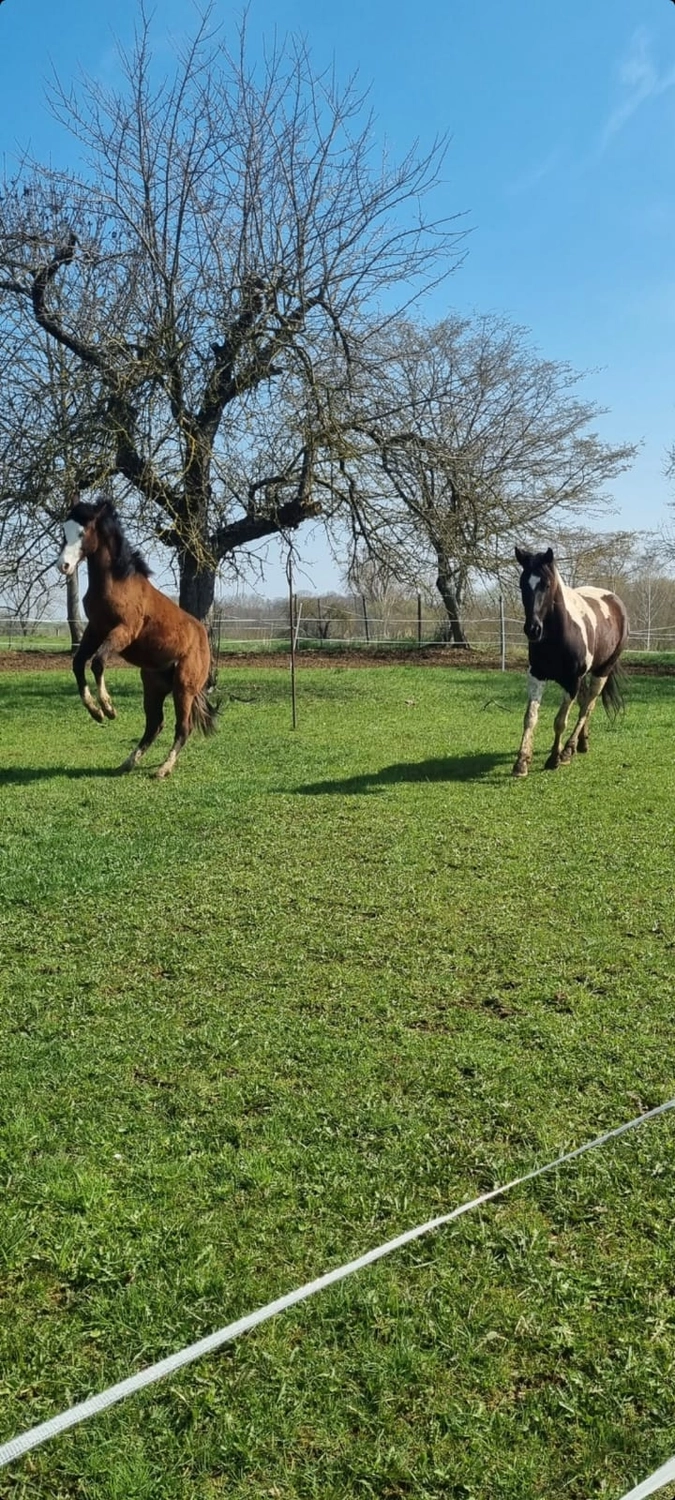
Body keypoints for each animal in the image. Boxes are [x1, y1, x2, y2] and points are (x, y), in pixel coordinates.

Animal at [56, 499, 217, 778]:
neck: (117, 583)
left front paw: (109, 708)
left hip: (183, 687)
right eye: (64, 532)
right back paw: (128, 762)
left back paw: (163, 768)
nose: (63, 565)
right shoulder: (95, 630)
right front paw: (96, 712)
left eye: (83, 532)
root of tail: (202, 636)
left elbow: (98, 662)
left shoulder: (123, 630)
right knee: (155, 725)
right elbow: (78, 663)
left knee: (182, 727)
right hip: (153, 687)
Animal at [512, 546, 629, 778]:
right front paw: (521, 762)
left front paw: (554, 759)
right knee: (585, 704)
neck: (558, 635)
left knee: (587, 707)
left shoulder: (572, 681)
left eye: (547, 585)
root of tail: (615, 600)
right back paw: (580, 744)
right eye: (522, 584)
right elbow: (530, 717)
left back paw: (568, 749)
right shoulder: (537, 675)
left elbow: (560, 721)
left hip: (601, 672)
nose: (532, 629)